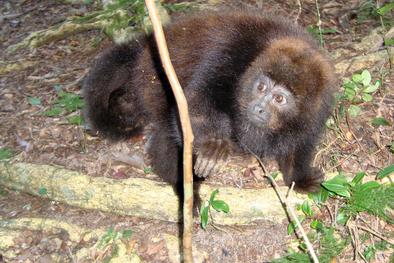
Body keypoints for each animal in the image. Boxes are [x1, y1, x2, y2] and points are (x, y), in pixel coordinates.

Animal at [83, 10, 336, 194]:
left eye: (279, 98)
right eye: (261, 87)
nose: (258, 108)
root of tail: (146, 49)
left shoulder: (319, 107)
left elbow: (300, 141)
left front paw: (297, 178)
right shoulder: (231, 52)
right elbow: (196, 100)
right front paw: (214, 143)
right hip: (151, 82)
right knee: (170, 127)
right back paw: (186, 189)